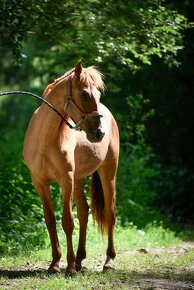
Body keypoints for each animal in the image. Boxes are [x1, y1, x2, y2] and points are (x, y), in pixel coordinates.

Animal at [22, 60, 119, 274]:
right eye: (84, 94)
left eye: (98, 94)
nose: (99, 133)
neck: (45, 139)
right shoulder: (40, 182)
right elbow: (50, 220)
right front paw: (55, 263)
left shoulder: (65, 180)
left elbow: (67, 221)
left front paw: (70, 267)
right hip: (79, 179)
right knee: (84, 211)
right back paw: (81, 258)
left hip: (108, 173)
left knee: (110, 213)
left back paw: (108, 261)